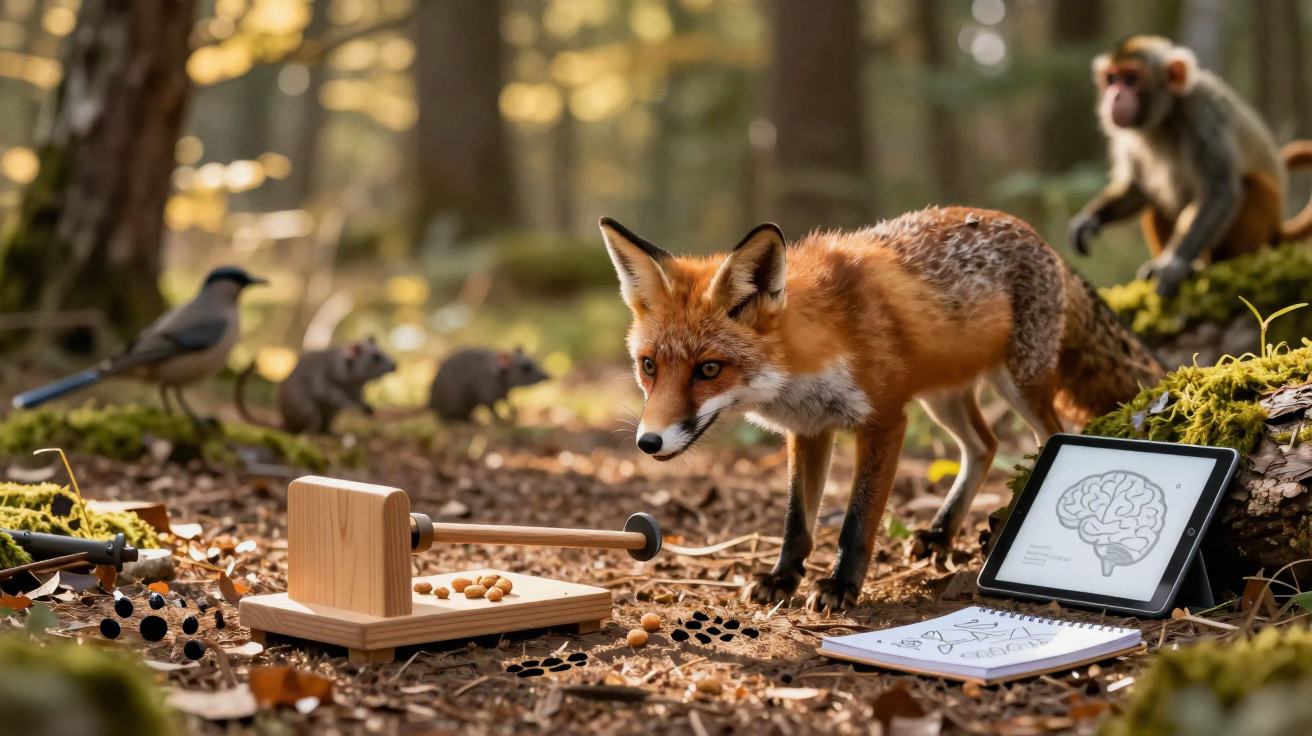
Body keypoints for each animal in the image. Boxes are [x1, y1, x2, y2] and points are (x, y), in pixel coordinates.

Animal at [599, 207, 1164, 611]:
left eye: (709, 369)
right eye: (648, 366)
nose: (648, 442)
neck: (811, 355)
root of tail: (1037, 236)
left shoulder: (886, 421)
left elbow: (857, 521)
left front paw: (840, 587)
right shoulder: (808, 430)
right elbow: (796, 520)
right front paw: (783, 578)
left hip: (1017, 384)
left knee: (1047, 436)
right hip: (943, 397)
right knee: (985, 445)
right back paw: (940, 533)